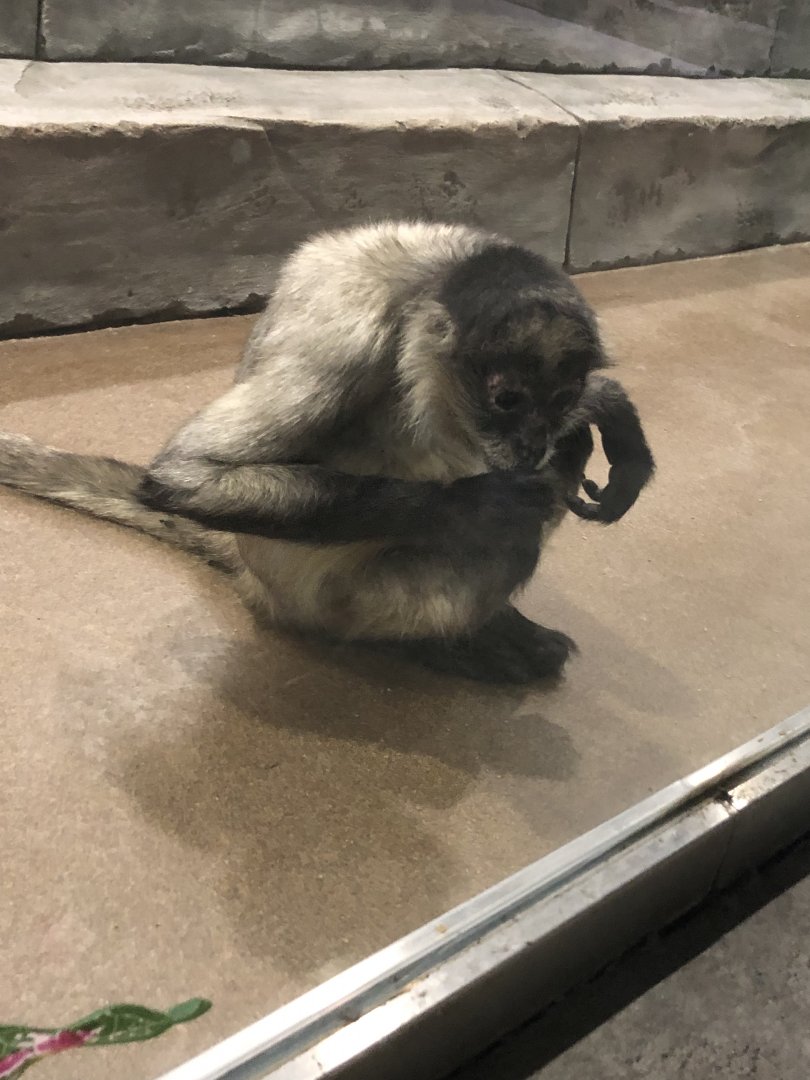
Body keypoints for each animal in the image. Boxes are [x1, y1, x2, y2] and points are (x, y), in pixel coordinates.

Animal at [0, 221, 654, 684]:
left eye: (560, 397)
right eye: (507, 399)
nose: (532, 441)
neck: (430, 277)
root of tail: (257, 580)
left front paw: (608, 408)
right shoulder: (343, 339)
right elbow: (186, 477)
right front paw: (485, 503)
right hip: (343, 603)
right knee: (514, 534)